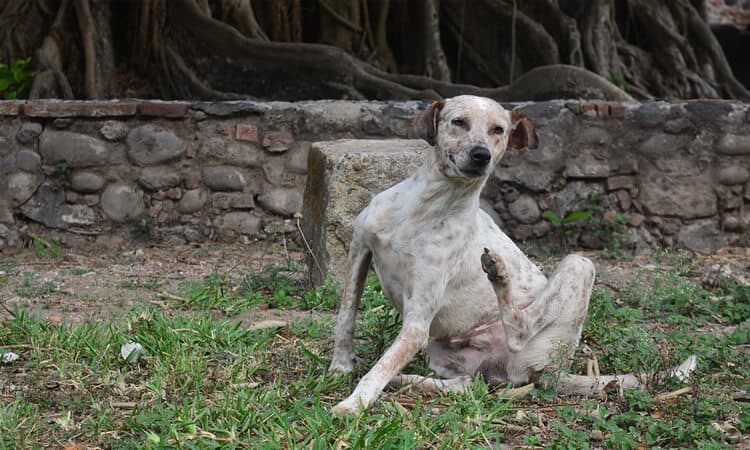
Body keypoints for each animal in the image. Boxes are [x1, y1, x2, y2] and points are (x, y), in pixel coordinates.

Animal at [328, 95, 700, 414]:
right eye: (458, 122)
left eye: (499, 130)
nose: (481, 155)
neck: (425, 207)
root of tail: (554, 370)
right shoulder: (359, 248)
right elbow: (346, 316)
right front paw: (340, 366)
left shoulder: (418, 323)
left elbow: (381, 365)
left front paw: (355, 403)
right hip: (444, 355)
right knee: (467, 385)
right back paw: (409, 381)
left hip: (578, 265)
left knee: (520, 330)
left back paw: (499, 274)